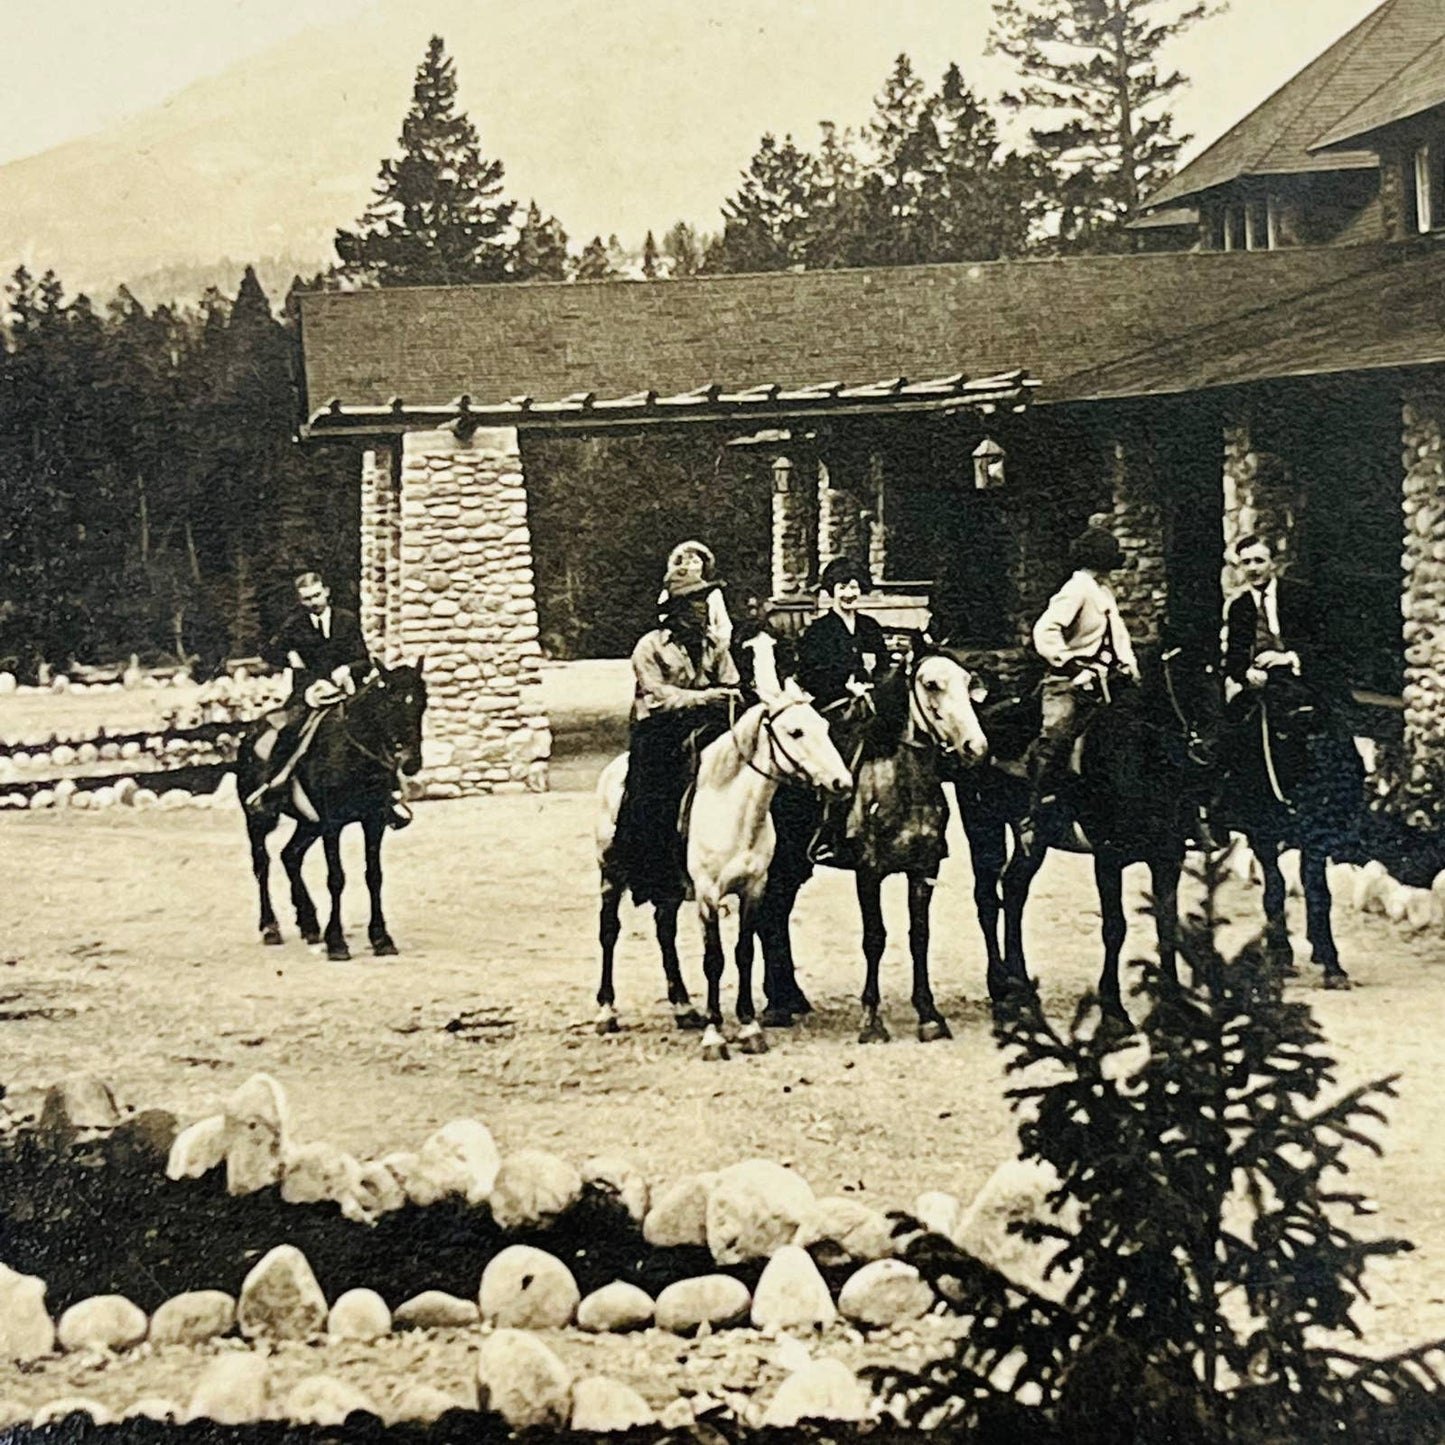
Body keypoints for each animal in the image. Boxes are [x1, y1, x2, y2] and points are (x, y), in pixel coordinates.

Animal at [236, 661, 424, 959]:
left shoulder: (373, 821)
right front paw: (336, 942)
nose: (411, 762)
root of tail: (253, 730)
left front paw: (381, 939)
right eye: (388, 703)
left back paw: (310, 924)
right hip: (259, 819)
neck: (352, 753)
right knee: (262, 864)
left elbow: (374, 876)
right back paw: (270, 928)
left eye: (422, 702)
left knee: (290, 855)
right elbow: (336, 878)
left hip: (309, 824)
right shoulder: (332, 825)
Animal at [751, 650, 988, 1046]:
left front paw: (929, 1015)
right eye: (931, 684)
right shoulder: (869, 872)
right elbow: (874, 939)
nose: (976, 747)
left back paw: (790, 999)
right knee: (768, 918)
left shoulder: (924, 870)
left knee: (776, 915)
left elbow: (919, 937)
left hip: (793, 865)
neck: (902, 785)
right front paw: (871, 1020)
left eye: (968, 682)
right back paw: (777, 1006)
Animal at [947, 650, 1219, 1023]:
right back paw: (1001, 991)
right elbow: (1114, 928)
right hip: (982, 826)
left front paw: (1174, 1004)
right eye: (1187, 680)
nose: (1211, 749)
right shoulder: (1108, 858)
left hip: (1033, 841)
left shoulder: (1167, 857)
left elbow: (1167, 927)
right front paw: (1114, 1009)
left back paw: (1022, 987)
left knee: (1014, 890)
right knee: (988, 900)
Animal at [1213, 670, 1358, 988]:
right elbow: (1275, 890)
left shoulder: (1316, 842)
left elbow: (1319, 894)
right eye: (1279, 730)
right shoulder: (1263, 837)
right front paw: (1280, 953)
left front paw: (1332, 964)